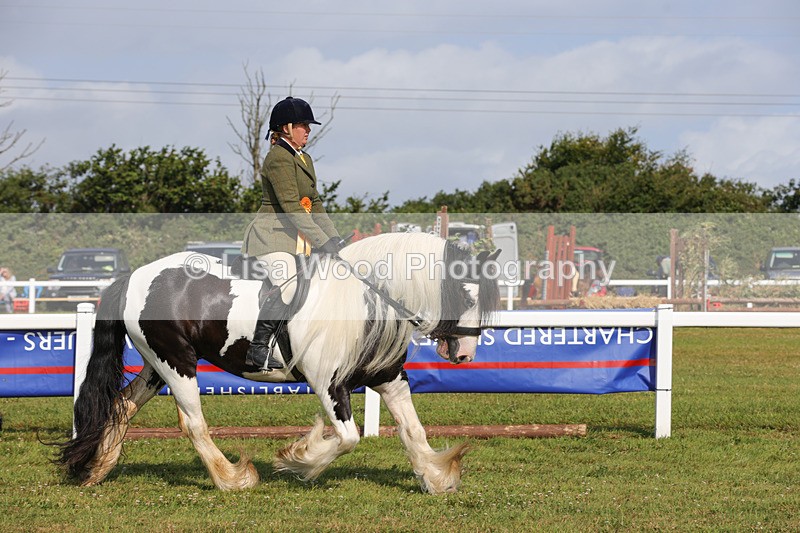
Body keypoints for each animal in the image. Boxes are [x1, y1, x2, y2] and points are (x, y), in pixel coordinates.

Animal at [56, 232, 500, 494]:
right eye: (465, 293)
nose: (465, 354)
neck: (366, 299)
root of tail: (133, 276)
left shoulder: (388, 377)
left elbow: (412, 430)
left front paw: (436, 476)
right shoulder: (328, 384)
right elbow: (348, 438)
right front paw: (299, 457)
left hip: (157, 364)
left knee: (122, 404)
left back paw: (98, 468)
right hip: (175, 363)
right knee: (194, 424)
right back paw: (233, 479)